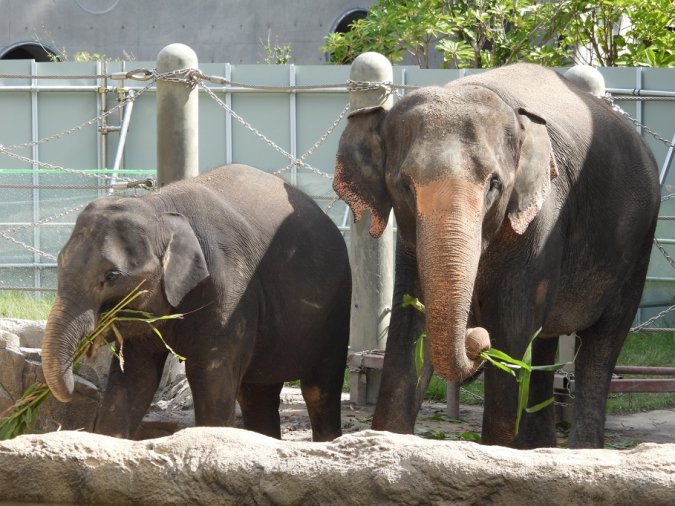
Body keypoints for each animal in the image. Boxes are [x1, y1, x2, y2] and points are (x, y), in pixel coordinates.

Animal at [41, 164, 352, 440]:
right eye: (59, 263)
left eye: (112, 276)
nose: (83, 357)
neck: (158, 208)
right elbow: (134, 377)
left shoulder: (229, 289)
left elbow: (210, 375)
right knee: (256, 392)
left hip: (336, 310)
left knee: (319, 388)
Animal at [336, 62, 664, 446]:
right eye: (405, 185)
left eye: (495, 184)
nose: (476, 340)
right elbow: (410, 321)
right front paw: (387, 440)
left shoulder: (542, 218)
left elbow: (512, 324)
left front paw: (497, 451)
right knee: (544, 343)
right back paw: (540, 448)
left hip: (638, 243)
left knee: (602, 341)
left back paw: (581, 448)